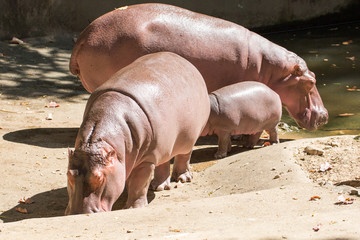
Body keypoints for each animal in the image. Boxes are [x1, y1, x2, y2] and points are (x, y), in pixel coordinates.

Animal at [66, 52, 210, 214]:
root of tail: (186, 62)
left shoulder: (146, 159)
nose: (77, 214)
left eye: (99, 178)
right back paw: (158, 187)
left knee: (184, 155)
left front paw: (132, 207)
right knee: (164, 161)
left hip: (187, 139)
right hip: (164, 144)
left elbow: (138, 184)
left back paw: (182, 179)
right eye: (68, 174)